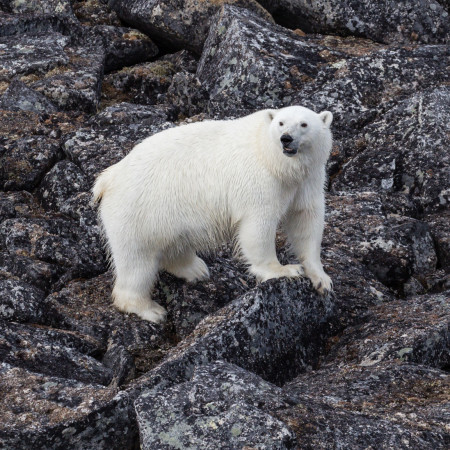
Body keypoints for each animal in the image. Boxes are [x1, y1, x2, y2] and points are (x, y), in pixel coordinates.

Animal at [94, 105, 334, 324]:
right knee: (137, 262)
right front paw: (285, 270)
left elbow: (306, 219)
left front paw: (321, 279)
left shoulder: (308, 179)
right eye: (281, 123)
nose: (286, 139)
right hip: (137, 213)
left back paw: (195, 269)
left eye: (304, 124)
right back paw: (150, 309)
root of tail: (107, 179)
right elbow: (258, 226)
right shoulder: (261, 181)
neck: (273, 160)